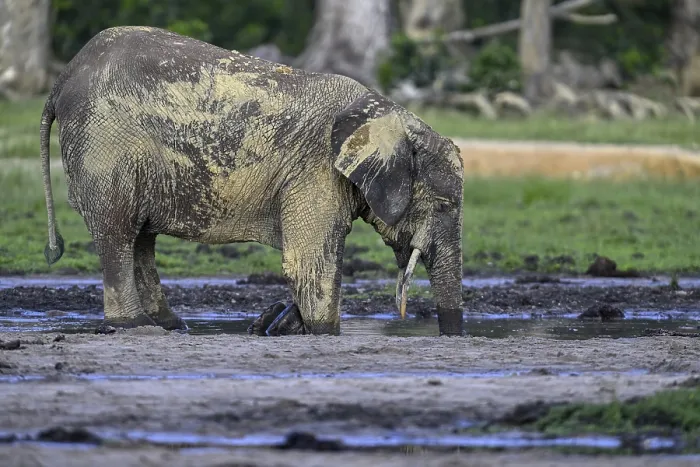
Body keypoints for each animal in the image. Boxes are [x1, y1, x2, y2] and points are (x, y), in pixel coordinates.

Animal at [40, 26, 465, 337]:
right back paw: (134, 325)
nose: (451, 335)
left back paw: (172, 326)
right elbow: (309, 261)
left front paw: (278, 321)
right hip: (107, 146)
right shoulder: (315, 169)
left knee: (141, 239)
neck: (388, 115)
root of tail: (64, 77)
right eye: (444, 205)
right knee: (119, 232)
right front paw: (321, 331)